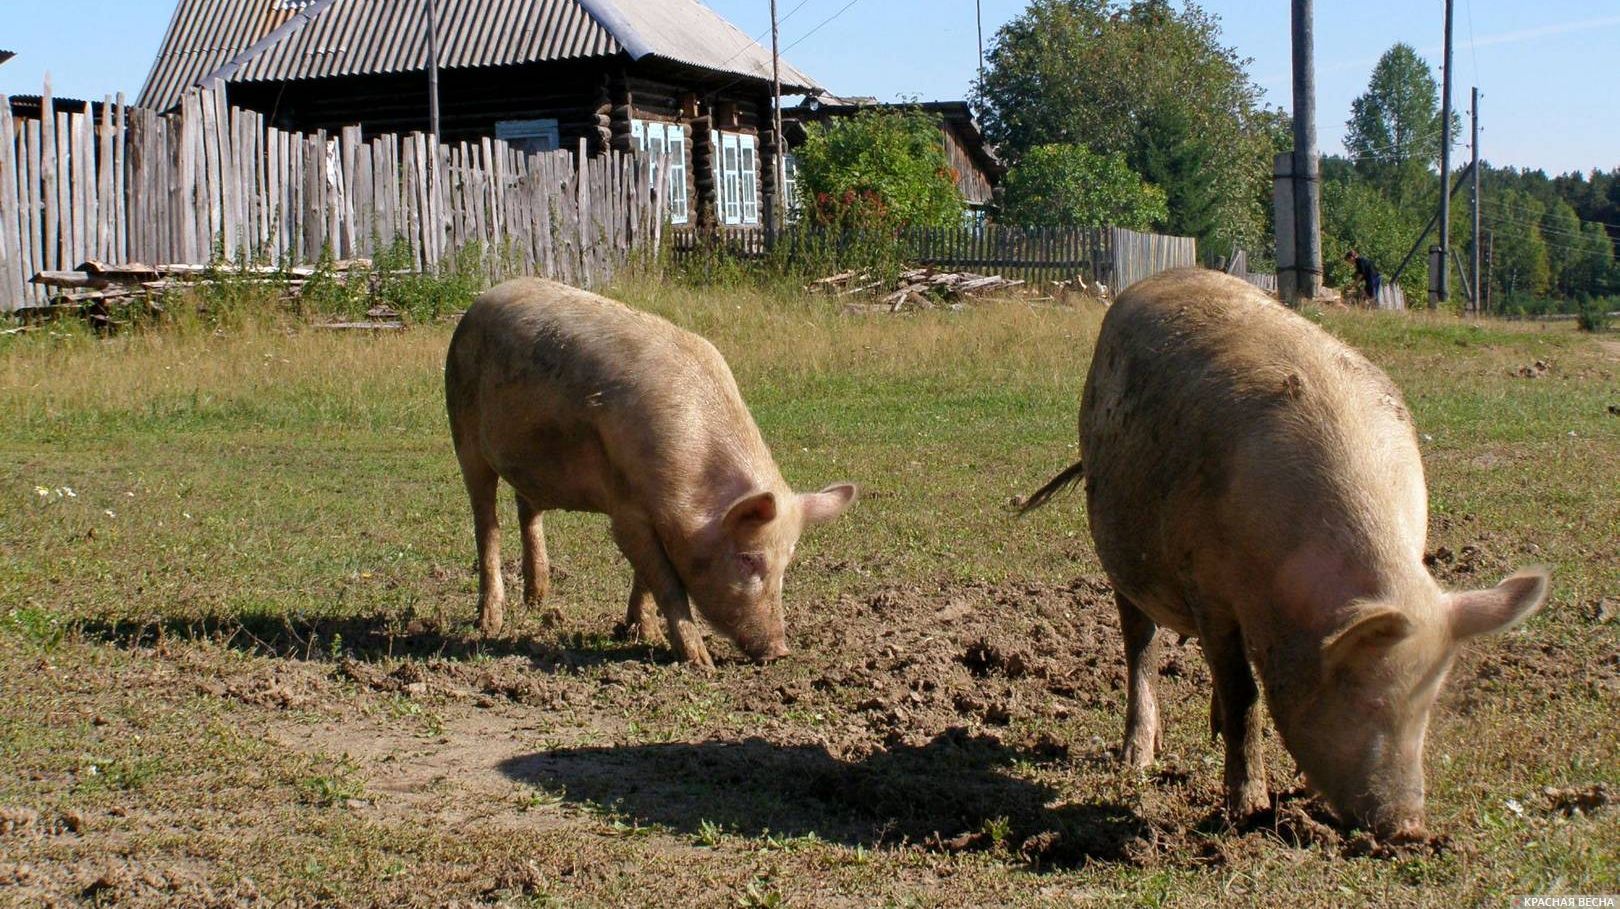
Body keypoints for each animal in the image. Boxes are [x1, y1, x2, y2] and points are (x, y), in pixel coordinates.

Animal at [437, 277, 855, 667]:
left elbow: (648, 579)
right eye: (748, 559)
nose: (779, 651)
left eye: (787, 563)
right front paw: (700, 662)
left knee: (528, 509)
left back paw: (538, 601)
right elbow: (666, 582)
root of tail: (480, 300)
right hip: (463, 433)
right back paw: (489, 623)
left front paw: (644, 633)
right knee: (487, 524)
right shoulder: (627, 512)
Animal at [1023, 267, 1542, 836]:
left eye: (1427, 704)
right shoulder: (1207, 588)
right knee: (1140, 643)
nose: (1406, 828)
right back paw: (1137, 759)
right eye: (1364, 698)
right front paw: (1247, 809)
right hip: (1119, 550)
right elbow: (1244, 693)